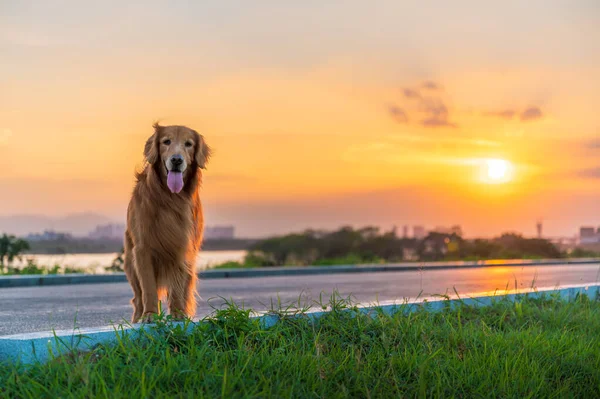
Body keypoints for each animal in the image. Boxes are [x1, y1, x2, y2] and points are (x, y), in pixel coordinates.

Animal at [123, 123, 212, 324]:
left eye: (188, 144)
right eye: (166, 141)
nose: (177, 160)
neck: (170, 198)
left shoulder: (181, 245)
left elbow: (177, 286)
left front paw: (178, 314)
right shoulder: (142, 249)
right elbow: (148, 288)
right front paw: (149, 315)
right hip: (130, 264)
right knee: (137, 296)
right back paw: (137, 317)